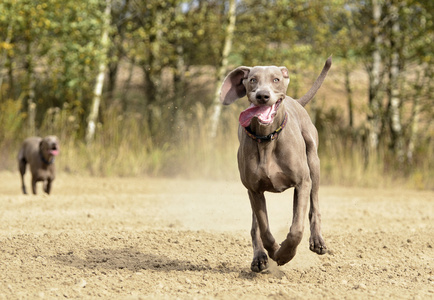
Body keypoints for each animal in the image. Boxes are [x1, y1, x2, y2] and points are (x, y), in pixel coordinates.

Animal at [220, 56, 332, 272]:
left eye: (276, 79)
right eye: (252, 80)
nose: (263, 96)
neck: (267, 139)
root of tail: (295, 101)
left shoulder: (302, 182)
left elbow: (296, 229)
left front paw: (285, 254)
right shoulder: (254, 190)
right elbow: (264, 228)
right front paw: (273, 252)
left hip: (314, 163)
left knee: (314, 206)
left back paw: (317, 241)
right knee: (255, 226)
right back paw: (259, 257)